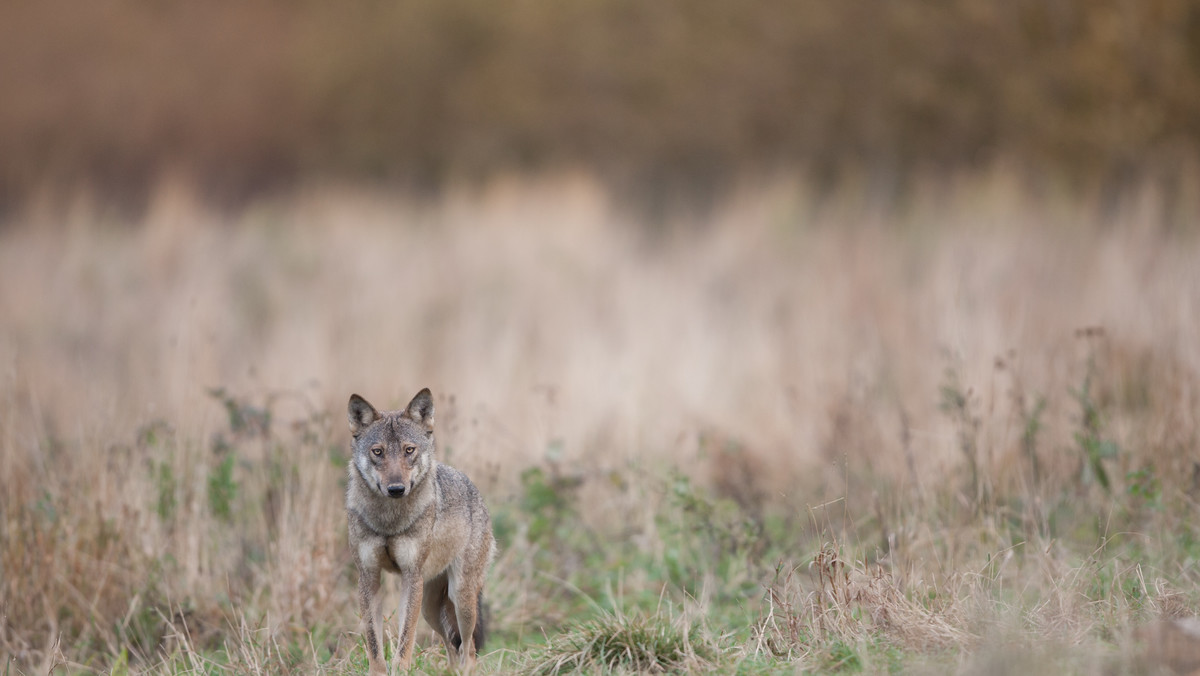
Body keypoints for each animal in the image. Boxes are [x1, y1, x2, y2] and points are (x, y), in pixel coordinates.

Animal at [345, 389, 494, 672]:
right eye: (378, 452)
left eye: (409, 450)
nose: (396, 489)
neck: (389, 521)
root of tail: (476, 492)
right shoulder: (368, 577)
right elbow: (373, 642)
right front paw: (378, 672)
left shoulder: (410, 576)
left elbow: (406, 639)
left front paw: (400, 670)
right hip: (430, 607)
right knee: (451, 648)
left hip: (460, 598)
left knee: (468, 650)